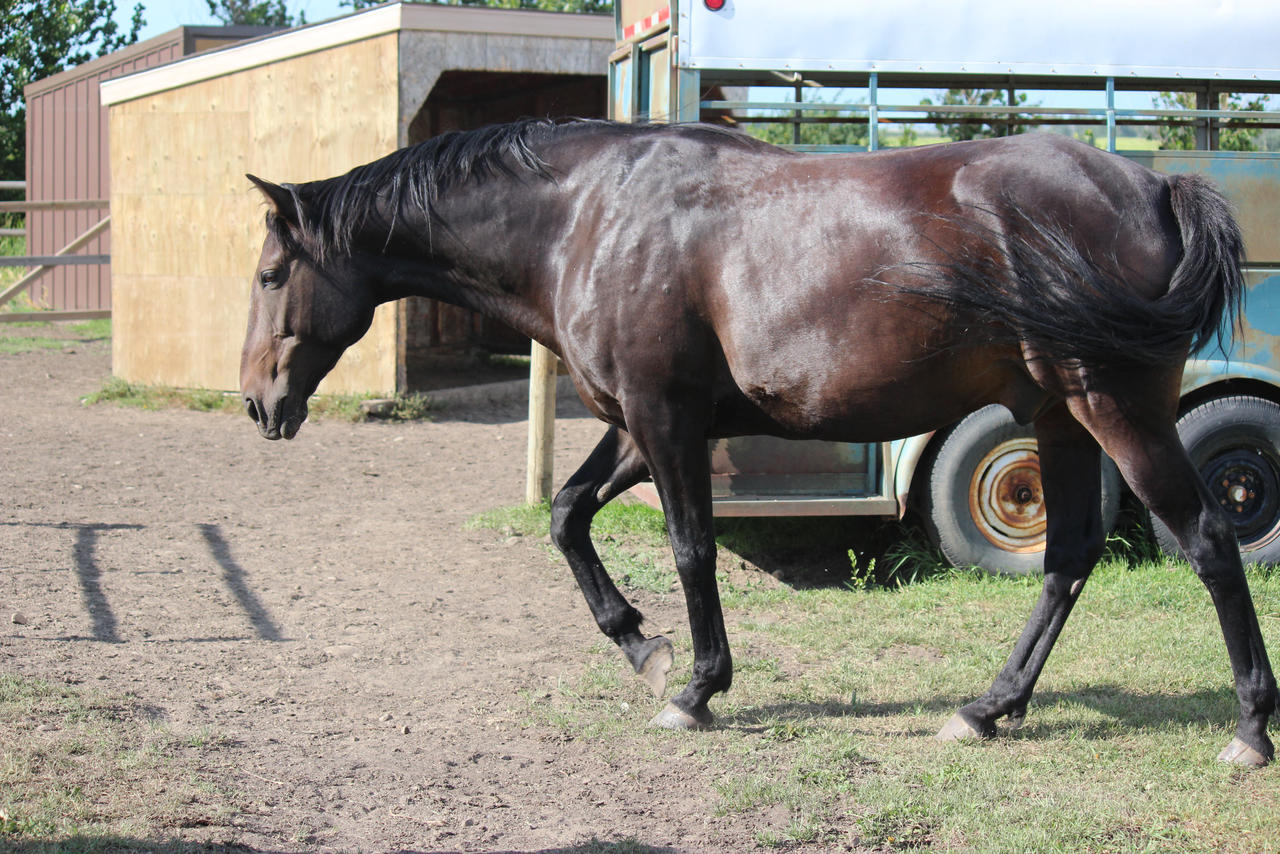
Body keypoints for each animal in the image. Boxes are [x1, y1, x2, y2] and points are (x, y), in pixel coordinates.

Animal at [240, 117, 1269, 763]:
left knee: (1209, 542)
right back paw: (986, 709)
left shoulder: (664, 421)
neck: (585, 217)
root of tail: (1154, 185)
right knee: (1068, 557)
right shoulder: (635, 424)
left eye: (268, 274)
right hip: (1060, 418)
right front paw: (640, 645)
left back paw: (1251, 731)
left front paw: (694, 689)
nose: (256, 404)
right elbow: (568, 516)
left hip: (1119, 413)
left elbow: (690, 548)